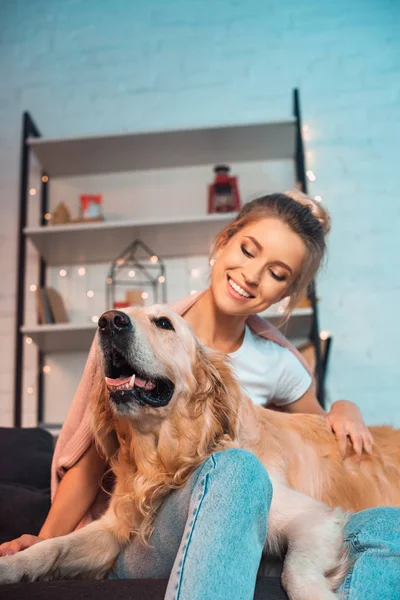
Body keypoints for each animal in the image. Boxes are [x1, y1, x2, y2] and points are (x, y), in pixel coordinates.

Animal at [0, 308, 400, 596]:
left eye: (164, 323)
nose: (109, 321)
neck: (169, 457)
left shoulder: (314, 517)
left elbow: (296, 573)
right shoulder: (113, 530)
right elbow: (52, 547)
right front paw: (11, 564)